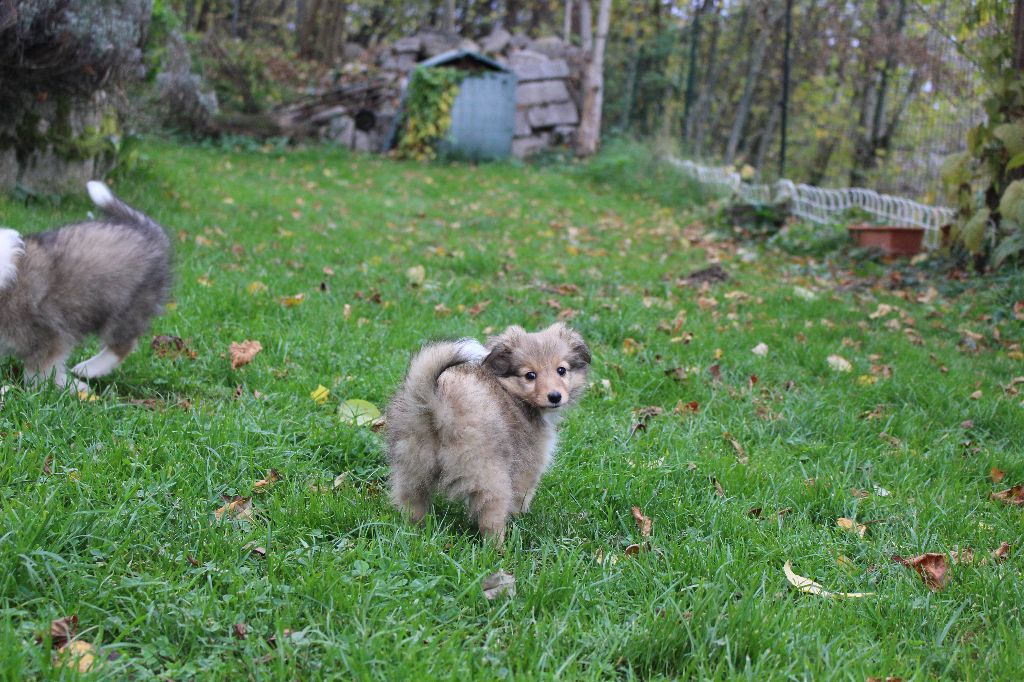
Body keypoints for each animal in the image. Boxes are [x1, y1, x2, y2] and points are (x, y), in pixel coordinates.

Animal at [0, 181, 172, 392]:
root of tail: (148, 230)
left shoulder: (48, 336)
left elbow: (39, 373)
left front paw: (70, 388)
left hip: (126, 307)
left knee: (123, 344)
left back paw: (88, 369)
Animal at [385, 323, 591, 544]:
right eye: (530, 375)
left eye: (561, 370)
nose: (554, 396)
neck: (510, 392)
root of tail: (438, 405)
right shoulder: (528, 466)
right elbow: (522, 496)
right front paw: (520, 517)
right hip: (490, 475)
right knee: (490, 518)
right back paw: (500, 546)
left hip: (412, 464)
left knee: (411, 502)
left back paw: (416, 532)